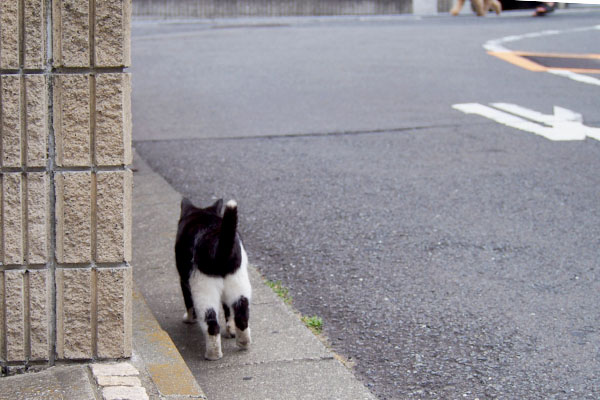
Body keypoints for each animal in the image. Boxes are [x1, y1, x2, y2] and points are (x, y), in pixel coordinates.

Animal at [173, 198, 251, 360]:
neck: (202, 214)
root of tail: (219, 244)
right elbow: (228, 310)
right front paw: (231, 330)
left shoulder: (183, 280)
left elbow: (188, 303)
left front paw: (189, 319)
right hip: (239, 284)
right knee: (241, 316)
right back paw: (243, 343)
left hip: (203, 290)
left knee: (212, 324)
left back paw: (213, 355)